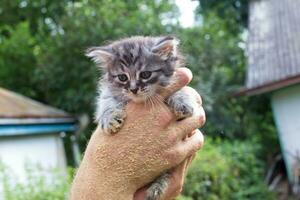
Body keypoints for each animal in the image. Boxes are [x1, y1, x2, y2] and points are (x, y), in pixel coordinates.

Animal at [86, 36, 195, 200]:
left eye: (145, 74)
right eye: (122, 77)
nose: (133, 89)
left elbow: (180, 90)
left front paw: (182, 101)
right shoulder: (108, 93)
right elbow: (106, 102)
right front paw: (110, 118)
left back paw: (156, 187)